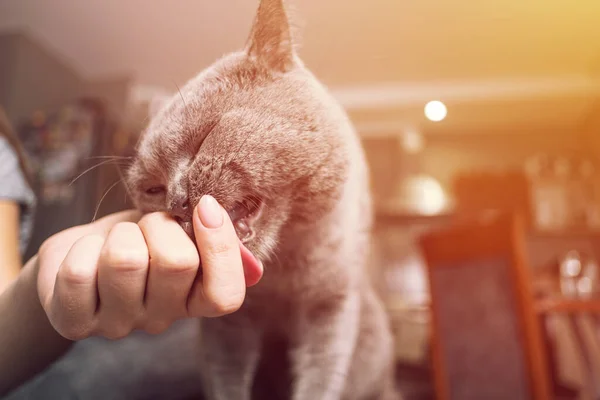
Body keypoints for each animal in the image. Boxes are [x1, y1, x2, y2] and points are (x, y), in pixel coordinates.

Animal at [125, 0, 398, 400]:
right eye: (153, 189)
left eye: (204, 137)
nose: (175, 201)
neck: (280, 273)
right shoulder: (225, 327)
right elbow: (226, 377)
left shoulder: (331, 305)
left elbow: (322, 375)